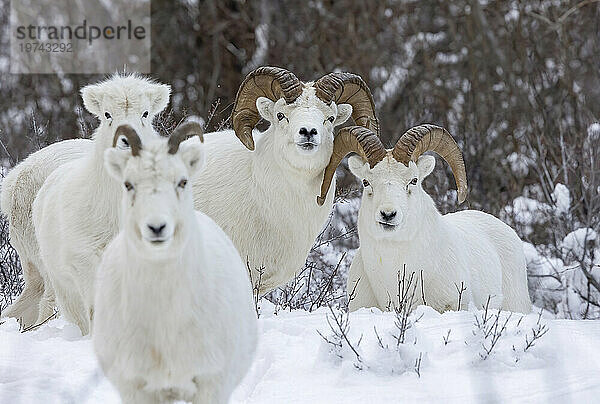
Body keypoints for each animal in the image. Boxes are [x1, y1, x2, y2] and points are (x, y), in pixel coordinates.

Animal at [32, 73, 170, 334]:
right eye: (107, 114)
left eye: (145, 113)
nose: (127, 140)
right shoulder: (85, 259)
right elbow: (96, 308)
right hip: (62, 283)